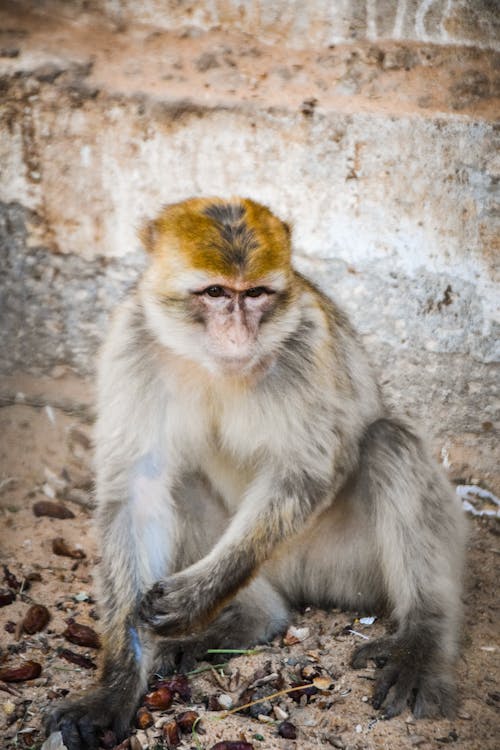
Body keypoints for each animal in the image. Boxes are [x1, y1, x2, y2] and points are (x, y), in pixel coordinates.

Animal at [47, 197, 464, 748]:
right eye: (216, 293)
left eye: (257, 294)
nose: (239, 333)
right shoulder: (131, 341)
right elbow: (138, 489)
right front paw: (115, 684)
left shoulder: (306, 344)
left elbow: (306, 471)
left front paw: (197, 595)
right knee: (179, 479)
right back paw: (249, 616)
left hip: (346, 565)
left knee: (388, 441)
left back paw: (421, 639)